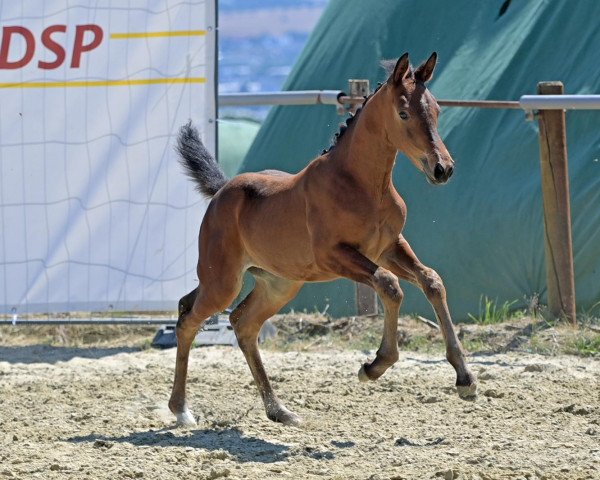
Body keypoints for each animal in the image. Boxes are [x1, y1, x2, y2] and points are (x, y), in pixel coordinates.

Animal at [170, 53, 478, 428]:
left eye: (436, 110)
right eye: (404, 113)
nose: (442, 169)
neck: (361, 184)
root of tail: (221, 191)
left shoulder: (388, 247)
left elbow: (431, 281)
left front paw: (465, 380)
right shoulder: (335, 256)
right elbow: (390, 286)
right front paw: (374, 366)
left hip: (279, 284)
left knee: (241, 324)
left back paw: (279, 411)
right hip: (223, 281)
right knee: (189, 317)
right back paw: (181, 410)